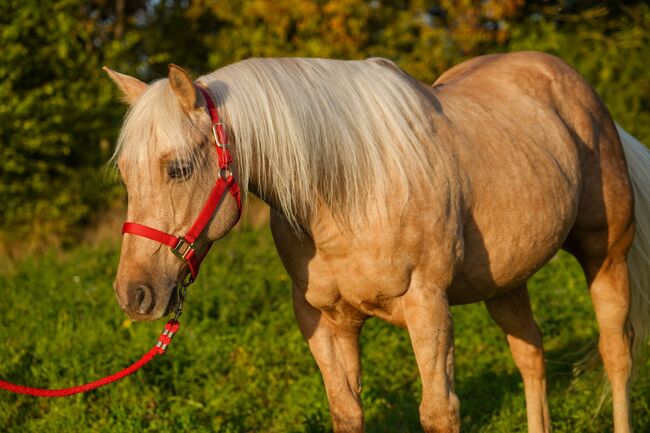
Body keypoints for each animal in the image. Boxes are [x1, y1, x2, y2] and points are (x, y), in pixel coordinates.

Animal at [104, 51, 644, 432]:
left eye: (177, 168)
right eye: (126, 174)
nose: (134, 295)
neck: (349, 192)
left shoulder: (428, 307)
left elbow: (439, 412)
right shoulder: (326, 320)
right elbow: (346, 411)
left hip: (606, 255)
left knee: (616, 353)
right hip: (507, 283)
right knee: (531, 357)